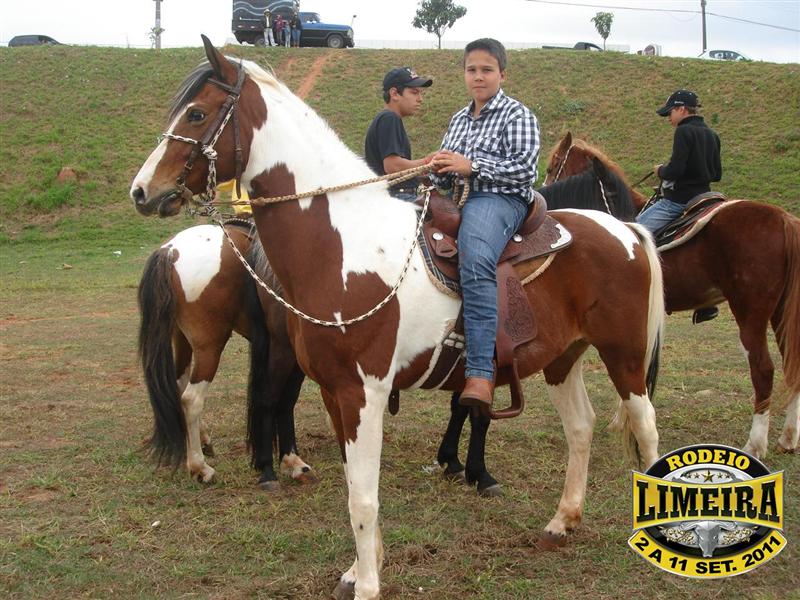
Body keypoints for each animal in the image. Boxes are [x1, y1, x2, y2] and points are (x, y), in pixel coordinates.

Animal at [137, 219, 313, 489]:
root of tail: (171, 251)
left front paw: (290, 460)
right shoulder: (287, 350)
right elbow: (281, 398)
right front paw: (280, 463)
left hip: (181, 338)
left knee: (179, 383)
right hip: (209, 345)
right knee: (191, 399)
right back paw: (199, 467)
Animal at [544, 132, 800, 457]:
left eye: (553, 166)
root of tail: (784, 220)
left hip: (750, 313)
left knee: (763, 370)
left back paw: (755, 444)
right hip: (782, 312)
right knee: (793, 363)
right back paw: (789, 437)